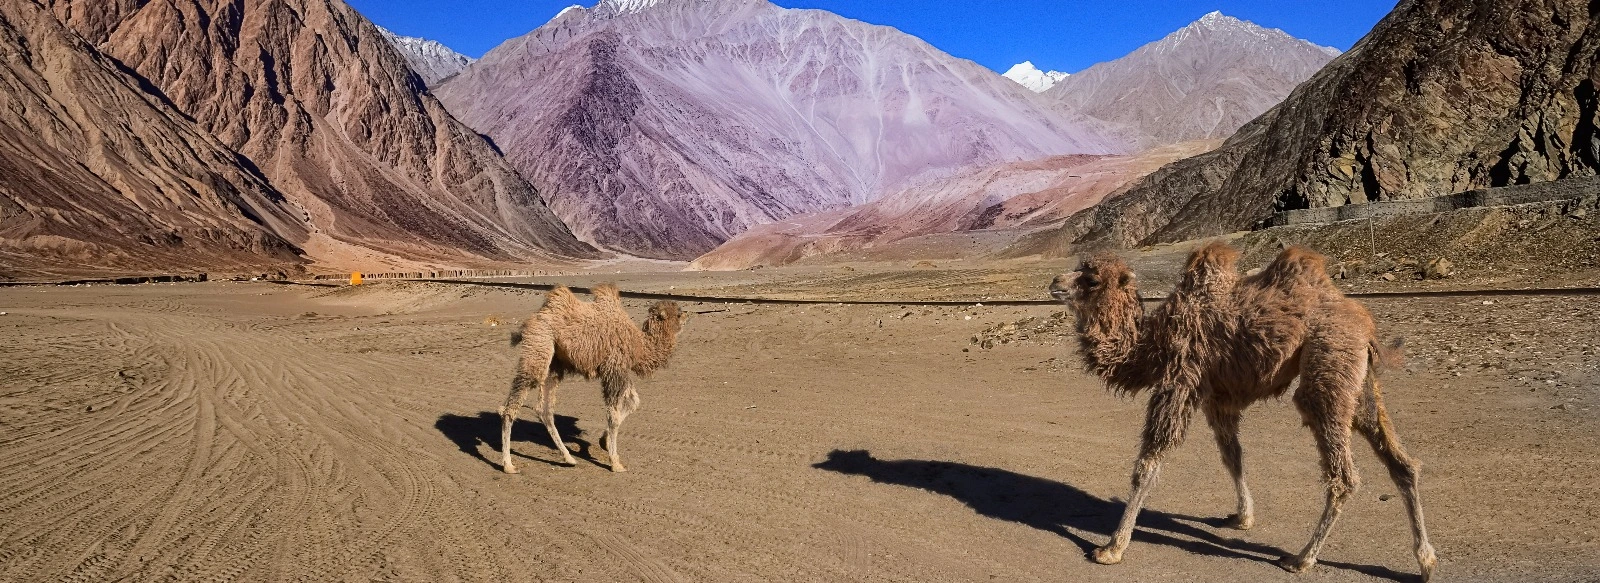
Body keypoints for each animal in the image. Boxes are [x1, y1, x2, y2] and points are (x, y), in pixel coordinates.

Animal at [499, 283, 688, 474]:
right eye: (678, 314)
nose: (687, 315)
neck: (640, 345)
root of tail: (530, 321)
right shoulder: (614, 369)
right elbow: (614, 416)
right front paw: (615, 462)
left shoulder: (620, 371)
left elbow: (633, 403)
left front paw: (604, 442)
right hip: (539, 348)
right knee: (513, 405)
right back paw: (508, 465)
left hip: (554, 364)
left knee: (543, 409)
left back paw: (568, 458)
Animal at [1049, 241, 1440, 579]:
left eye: (1092, 279)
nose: (1055, 283)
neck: (1153, 342)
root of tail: (1365, 325)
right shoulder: (1217, 396)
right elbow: (1232, 455)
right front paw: (1242, 517)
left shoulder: (1180, 379)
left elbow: (1148, 463)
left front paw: (1112, 548)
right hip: (1360, 384)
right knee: (1401, 463)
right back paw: (1425, 560)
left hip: (1327, 369)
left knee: (1343, 474)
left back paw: (1301, 558)